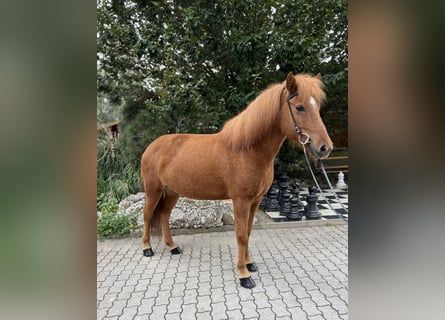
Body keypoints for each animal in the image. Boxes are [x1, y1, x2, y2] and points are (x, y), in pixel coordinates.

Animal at [140, 72, 332, 288]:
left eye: (317, 106)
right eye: (299, 107)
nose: (325, 148)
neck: (248, 150)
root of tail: (152, 146)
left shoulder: (255, 201)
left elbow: (248, 232)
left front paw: (250, 264)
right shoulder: (241, 201)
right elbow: (240, 235)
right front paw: (244, 275)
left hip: (172, 191)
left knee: (164, 215)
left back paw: (173, 247)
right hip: (154, 190)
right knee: (147, 215)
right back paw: (147, 249)